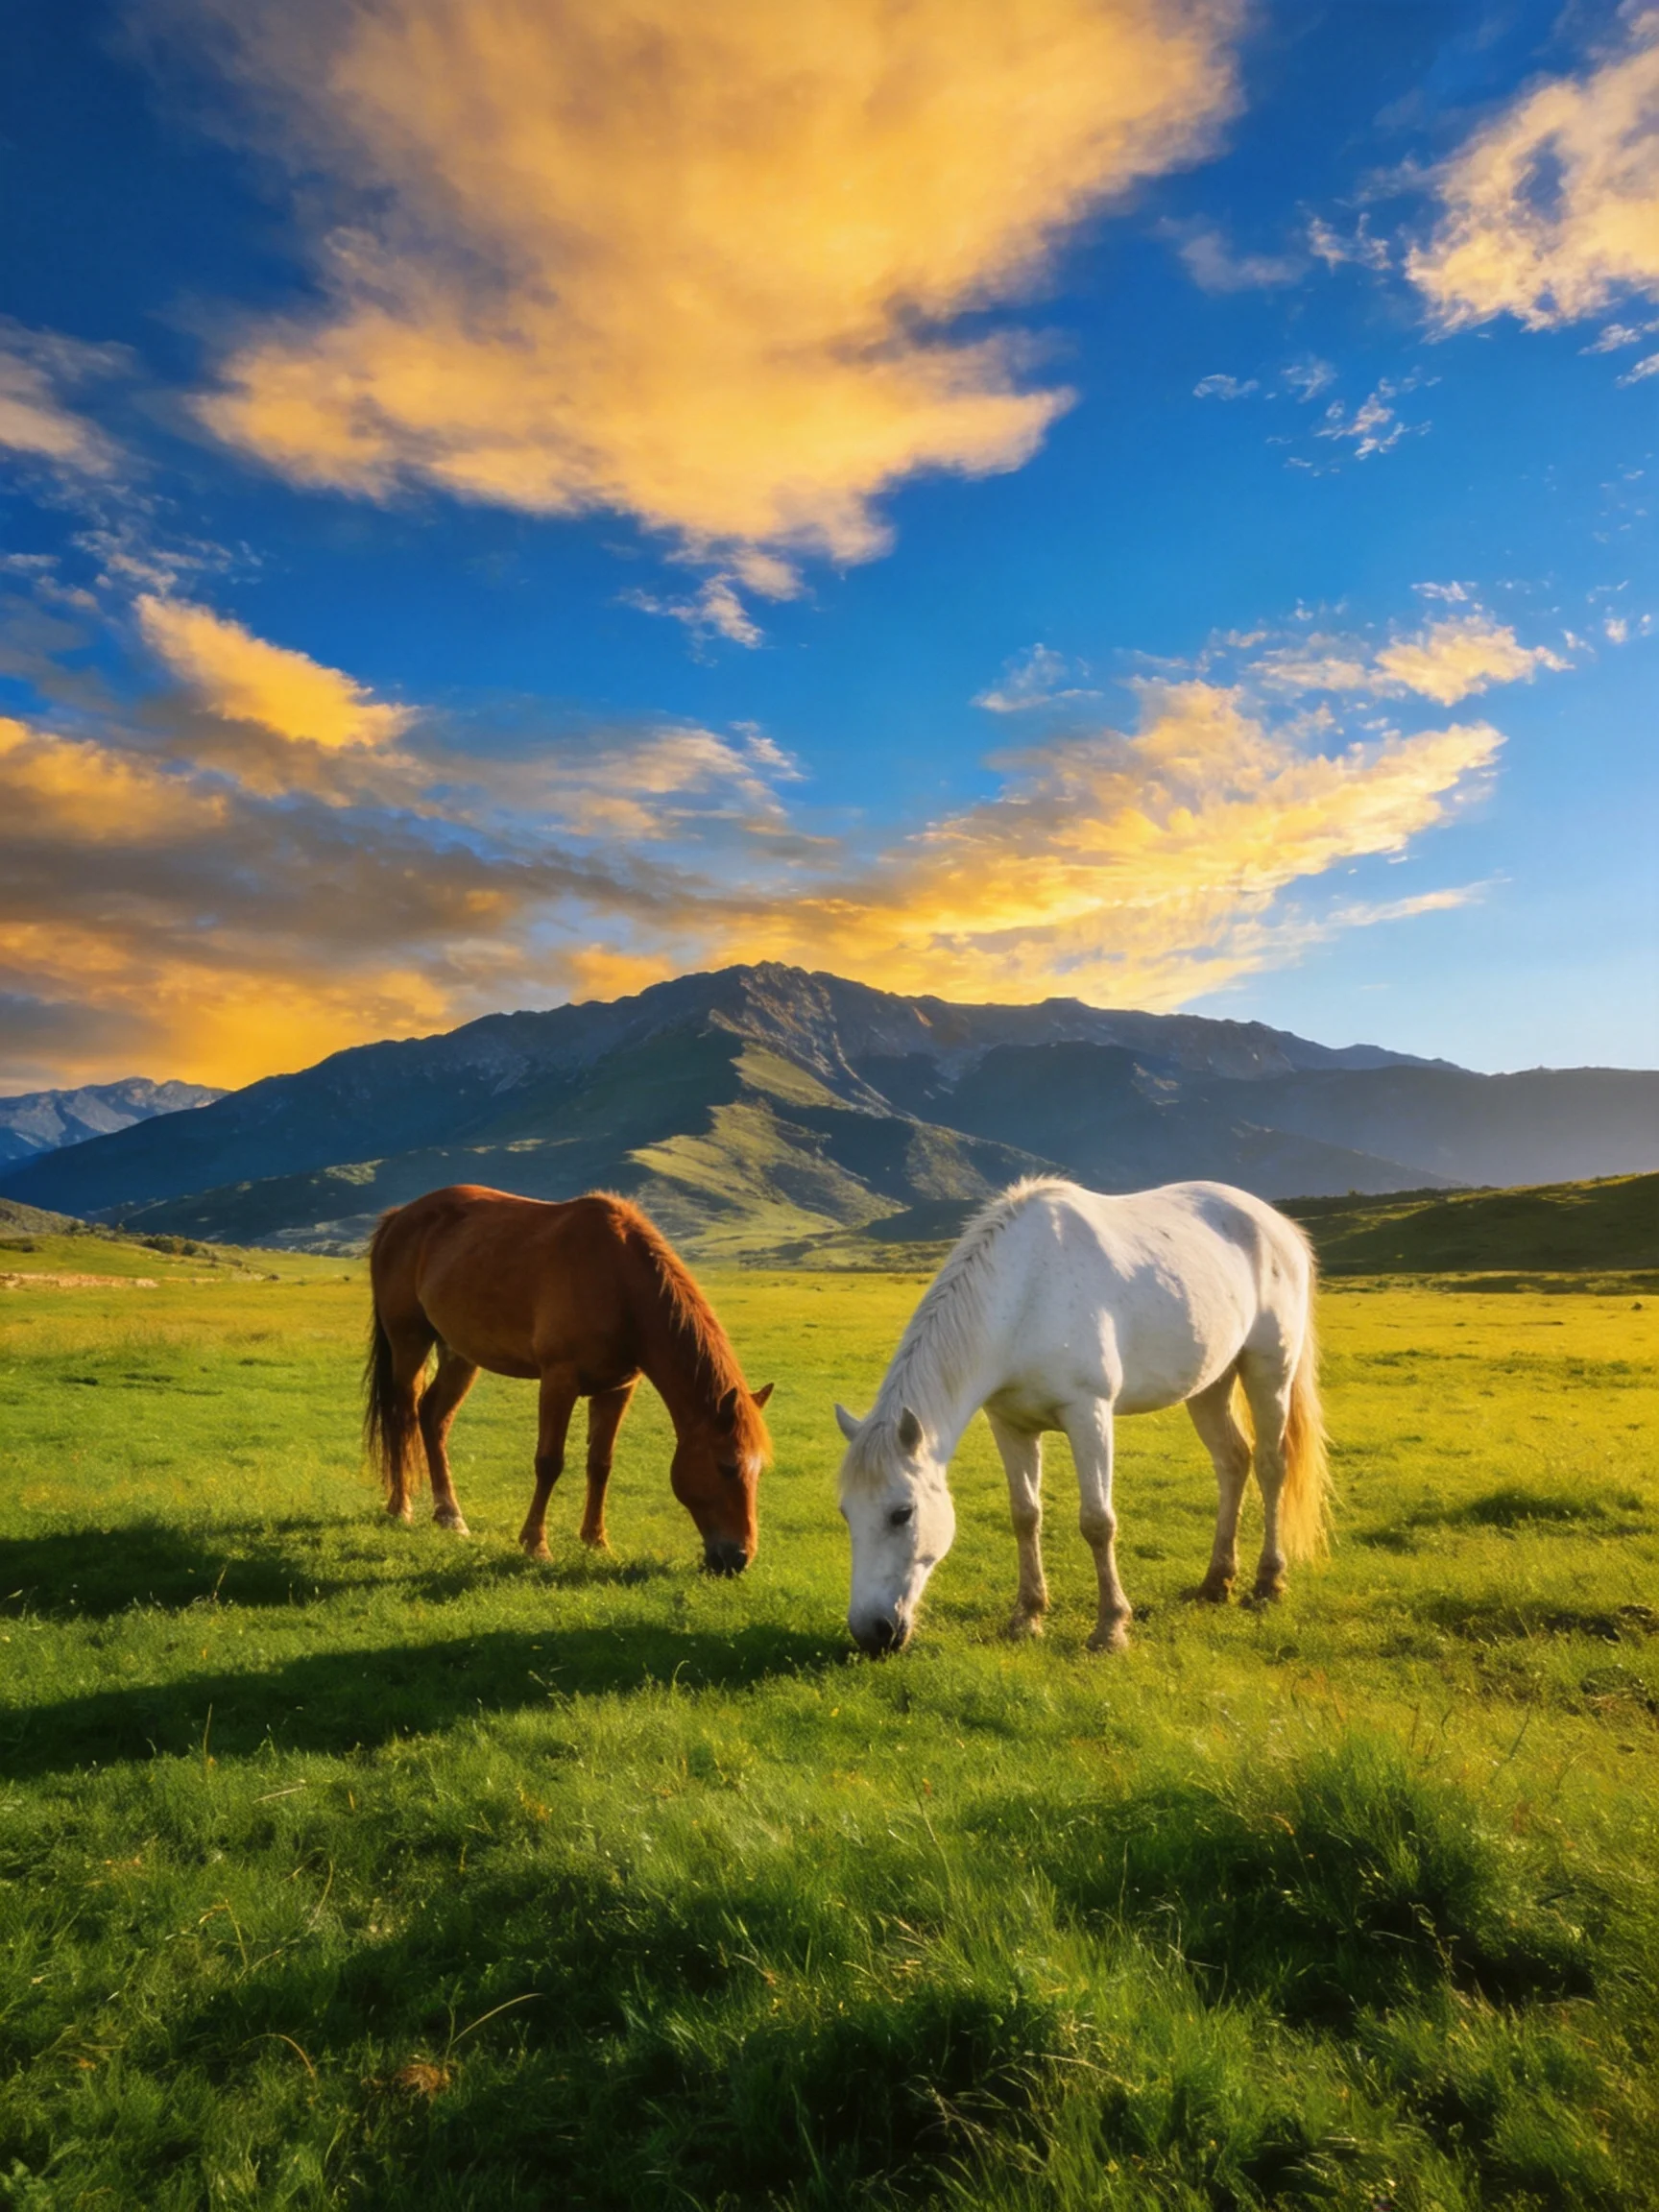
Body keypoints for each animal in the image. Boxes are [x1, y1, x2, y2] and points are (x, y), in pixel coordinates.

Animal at [363, 1186, 773, 1574]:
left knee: (434, 1418)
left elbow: (601, 1464)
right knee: (402, 1416)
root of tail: (399, 1217)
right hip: (409, 1342)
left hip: (459, 1354)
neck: (620, 1283)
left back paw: (449, 1515)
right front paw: (536, 1544)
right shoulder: (559, 1379)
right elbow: (549, 1462)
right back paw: (400, 1506)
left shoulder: (617, 1388)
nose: (738, 1558)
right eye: (726, 1466)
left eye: (759, 1471)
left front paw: (596, 1541)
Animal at [834, 1177, 1328, 1655]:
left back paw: (1268, 1582)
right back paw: (1216, 1581)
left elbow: (1097, 1522)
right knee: (1232, 1462)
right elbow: (1025, 1515)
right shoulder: (1010, 1425)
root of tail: (1278, 1226)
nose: (872, 1632)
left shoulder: (1089, 1414)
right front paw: (1027, 1617)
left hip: (1269, 1369)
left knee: (1270, 1466)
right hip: (1210, 1385)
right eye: (846, 1513)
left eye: (902, 1513)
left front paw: (1110, 1628)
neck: (1023, 1296)